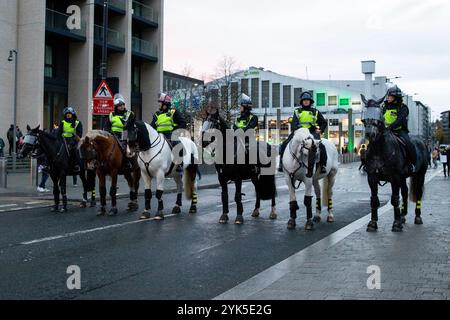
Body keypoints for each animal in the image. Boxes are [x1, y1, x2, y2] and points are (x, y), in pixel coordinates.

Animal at [358, 94, 428, 231]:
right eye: (364, 118)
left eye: (379, 114)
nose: (370, 134)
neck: (379, 151)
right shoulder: (372, 177)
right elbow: (374, 200)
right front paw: (373, 223)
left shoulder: (395, 177)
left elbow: (395, 199)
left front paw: (396, 223)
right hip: (403, 177)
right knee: (405, 192)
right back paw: (403, 215)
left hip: (420, 175)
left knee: (418, 193)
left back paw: (417, 217)